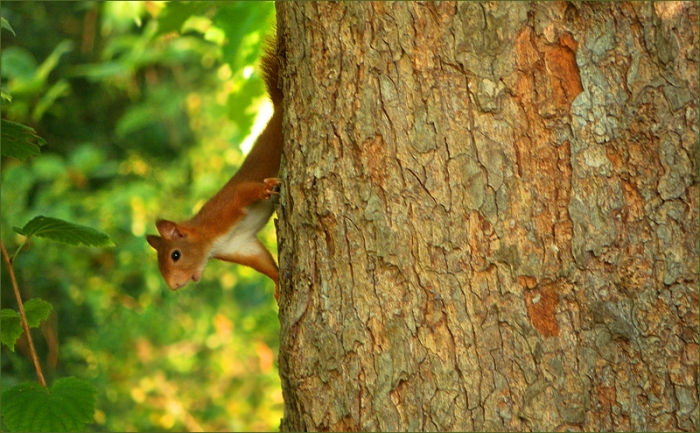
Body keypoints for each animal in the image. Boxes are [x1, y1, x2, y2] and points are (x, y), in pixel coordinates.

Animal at [147, 46, 283, 297]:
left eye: (175, 255)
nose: (174, 286)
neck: (210, 239)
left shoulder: (226, 207)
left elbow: (245, 191)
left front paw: (265, 189)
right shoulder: (241, 246)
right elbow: (264, 262)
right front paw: (279, 283)